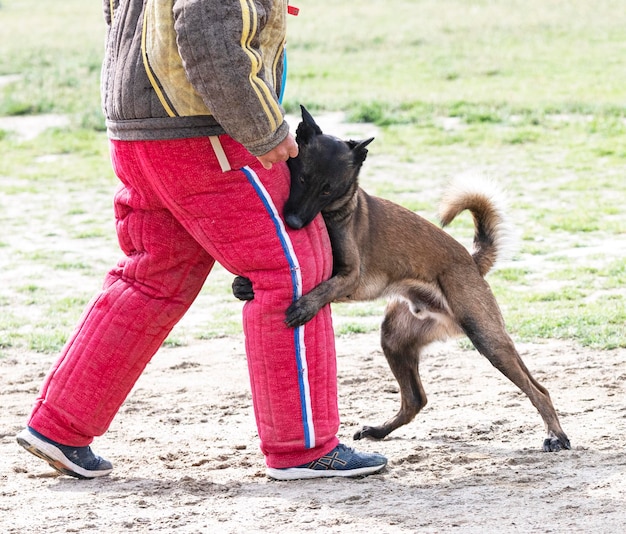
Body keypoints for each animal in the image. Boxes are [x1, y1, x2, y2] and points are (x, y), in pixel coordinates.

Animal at [232, 107, 568, 454]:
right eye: (302, 179)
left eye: (328, 189)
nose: (295, 222)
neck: (335, 213)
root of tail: (472, 261)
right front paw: (243, 286)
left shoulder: (350, 275)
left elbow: (325, 287)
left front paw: (304, 307)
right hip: (395, 339)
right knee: (415, 400)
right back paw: (379, 431)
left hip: (487, 338)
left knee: (538, 389)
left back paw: (556, 435)